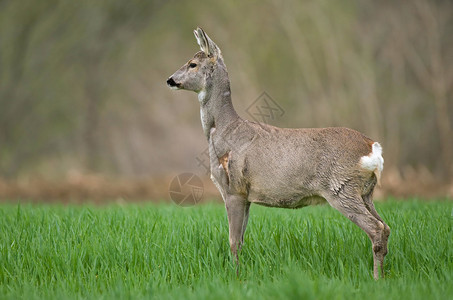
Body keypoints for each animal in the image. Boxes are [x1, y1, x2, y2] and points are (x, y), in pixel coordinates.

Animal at [166, 27, 388, 278]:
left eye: (192, 64)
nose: (170, 80)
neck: (223, 131)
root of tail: (372, 147)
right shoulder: (246, 196)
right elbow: (241, 240)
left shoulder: (233, 189)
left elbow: (233, 241)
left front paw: (235, 275)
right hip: (366, 192)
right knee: (386, 227)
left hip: (342, 187)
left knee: (376, 228)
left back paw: (376, 278)